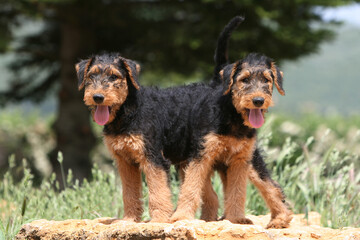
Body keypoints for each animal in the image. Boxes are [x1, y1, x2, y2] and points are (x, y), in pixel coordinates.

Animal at [172, 15, 292, 228]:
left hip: (249, 160)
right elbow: (191, 189)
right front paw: (181, 217)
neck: (233, 117)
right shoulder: (201, 156)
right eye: (244, 80)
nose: (258, 100)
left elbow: (237, 192)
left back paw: (279, 219)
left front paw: (235, 220)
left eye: (266, 80)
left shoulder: (239, 160)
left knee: (271, 186)